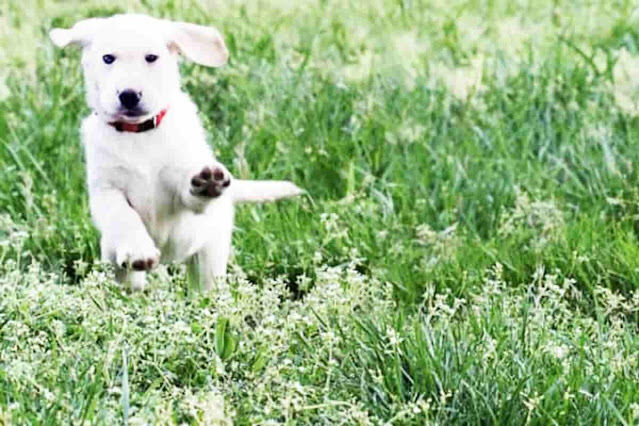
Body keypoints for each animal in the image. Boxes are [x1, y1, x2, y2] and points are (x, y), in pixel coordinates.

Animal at [48, 15, 304, 292]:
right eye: (108, 58)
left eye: (151, 57)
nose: (129, 95)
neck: (139, 133)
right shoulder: (106, 190)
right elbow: (123, 216)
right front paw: (138, 251)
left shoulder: (178, 185)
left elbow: (188, 194)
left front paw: (207, 183)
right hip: (112, 256)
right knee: (127, 277)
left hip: (209, 253)